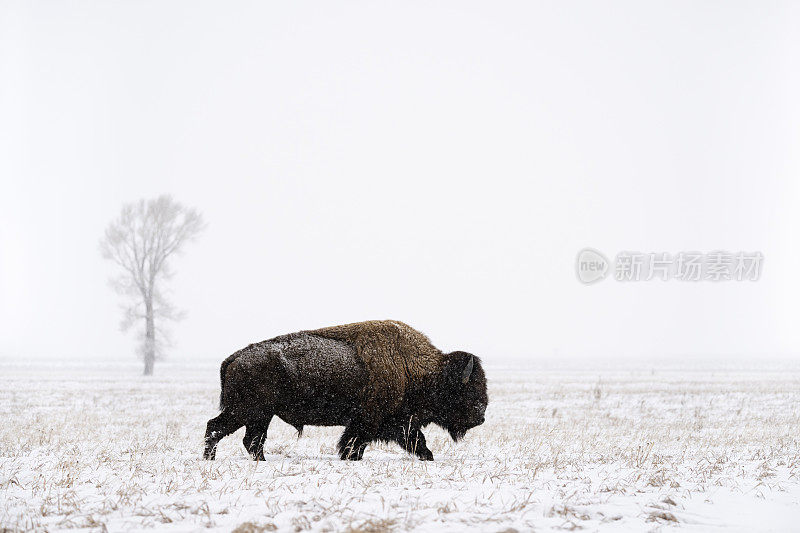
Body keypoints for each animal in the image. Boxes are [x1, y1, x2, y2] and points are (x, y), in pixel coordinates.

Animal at [200, 318, 488, 460]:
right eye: (468, 390)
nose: (481, 415)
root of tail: (234, 358)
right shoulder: (367, 421)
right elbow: (354, 442)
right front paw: (350, 458)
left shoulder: (398, 423)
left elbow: (416, 441)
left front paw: (428, 457)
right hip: (247, 410)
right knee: (216, 427)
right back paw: (210, 458)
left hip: (260, 415)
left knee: (251, 439)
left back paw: (258, 460)